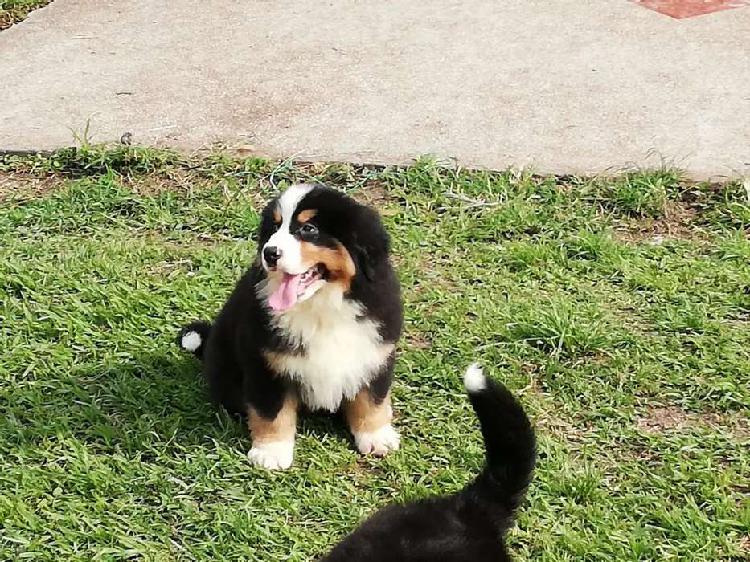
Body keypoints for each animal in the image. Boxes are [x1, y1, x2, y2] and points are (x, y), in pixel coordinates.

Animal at [178, 184, 402, 468]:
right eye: (274, 228)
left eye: (308, 229)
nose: (269, 253)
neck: (321, 307)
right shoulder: (265, 363)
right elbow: (271, 411)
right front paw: (271, 452)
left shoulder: (374, 353)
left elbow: (372, 399)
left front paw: (376, 436)